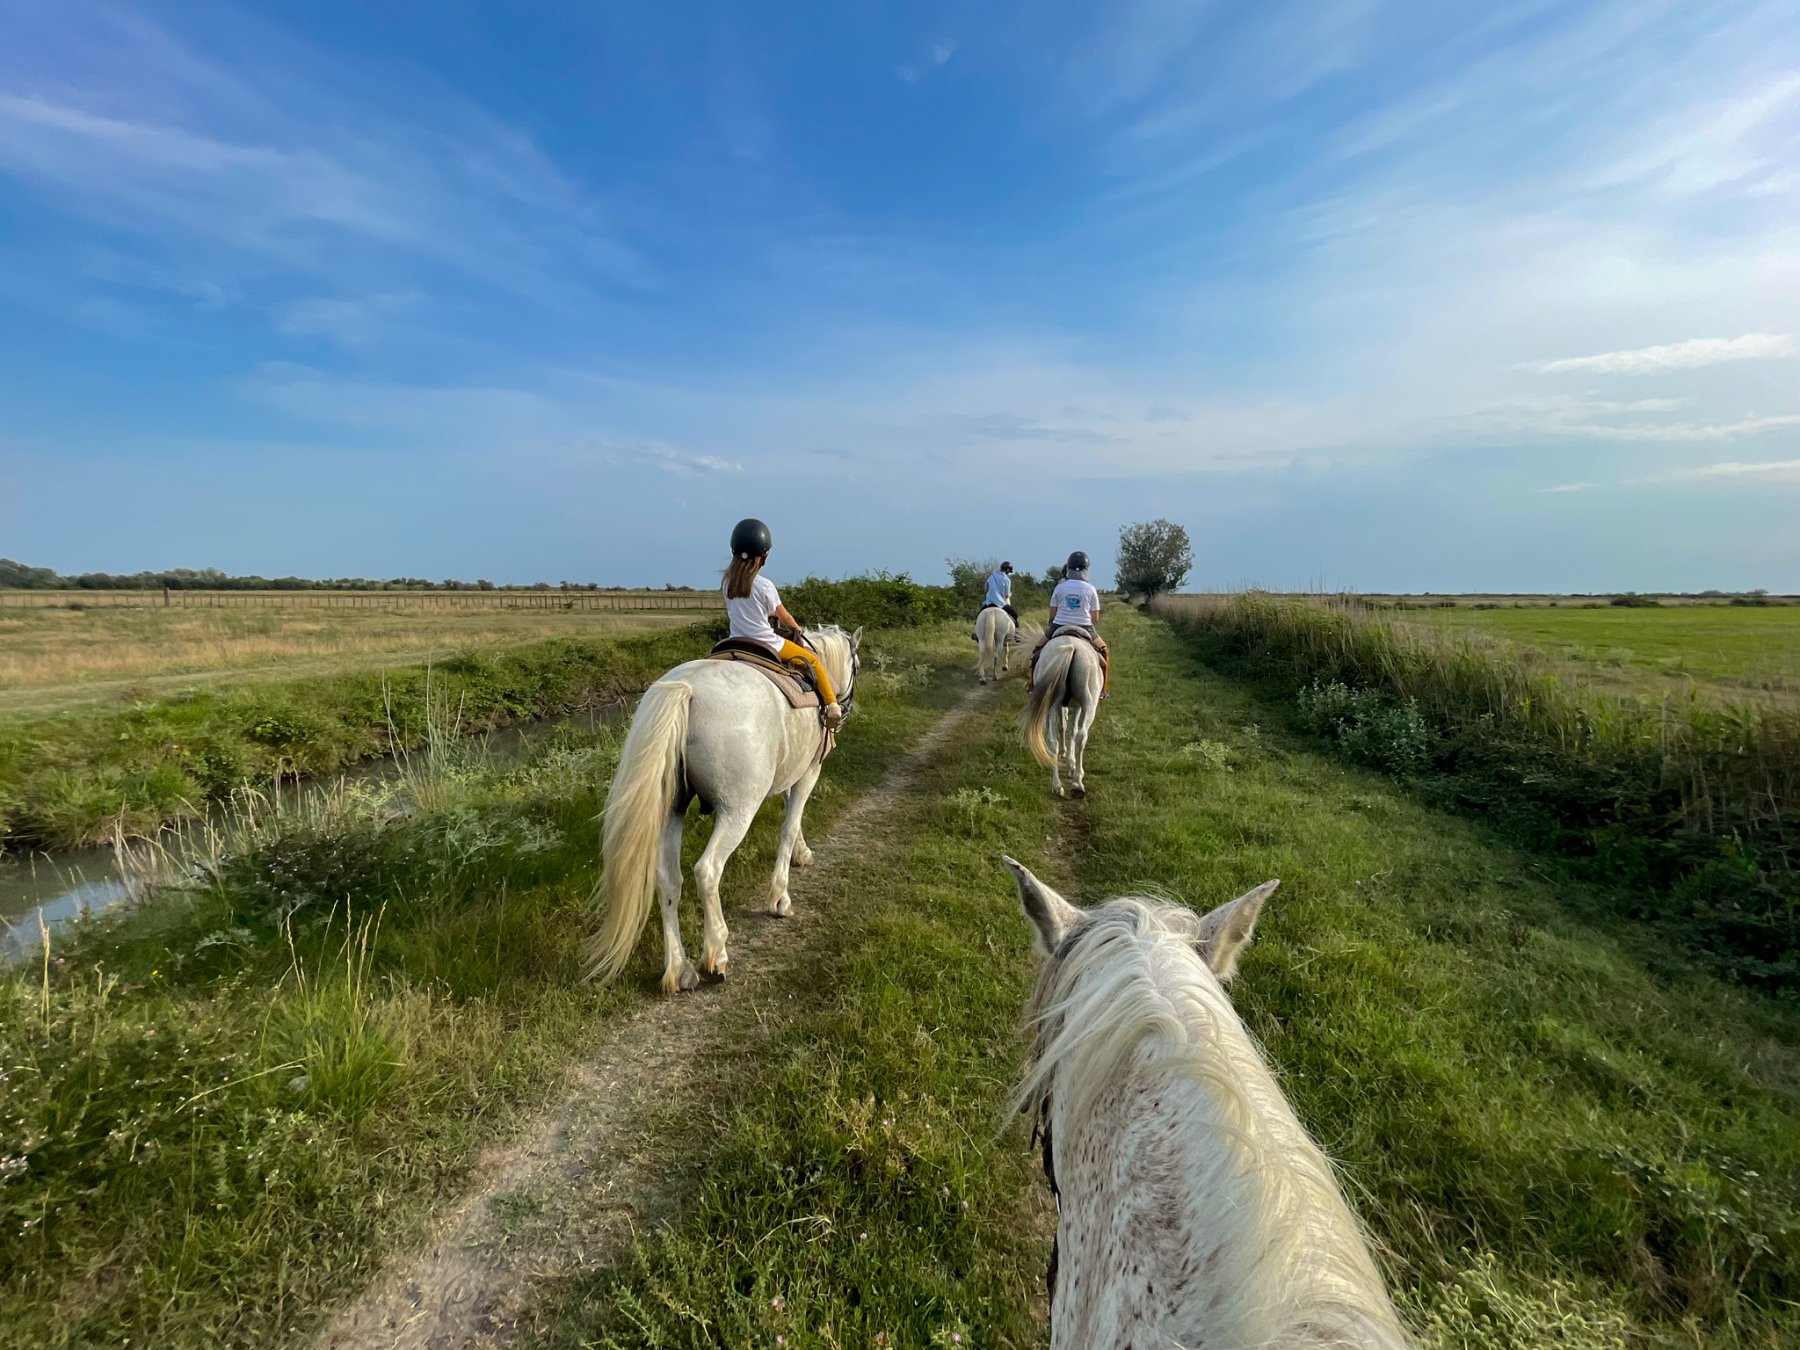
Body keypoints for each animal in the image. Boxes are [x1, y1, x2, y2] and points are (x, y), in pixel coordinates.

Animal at [586, 626, 861, 994]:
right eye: (856, 665)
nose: (844, 708)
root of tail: (688, 690)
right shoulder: (809, 771)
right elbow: (789, 825)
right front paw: (780, 898)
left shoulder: (792, 770)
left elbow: (792, 815)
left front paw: (801, 854)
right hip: (737, 810)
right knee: (707, 870)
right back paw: (716, 955)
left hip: (672, 810)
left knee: (668, 879)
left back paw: (680, 970)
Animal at [1021, 631, 1103, 798]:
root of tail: (1071, 647)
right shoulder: (1077, 706)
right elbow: (1072, 730)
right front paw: (1071, 763)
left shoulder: (1063, 705)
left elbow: (1063, 726)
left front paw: (1065, 754)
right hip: (1089, 704)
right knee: (1081, 736)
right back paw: (1077, 782)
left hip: (1050, 704)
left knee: (1052, 741)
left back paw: (1057, 786)